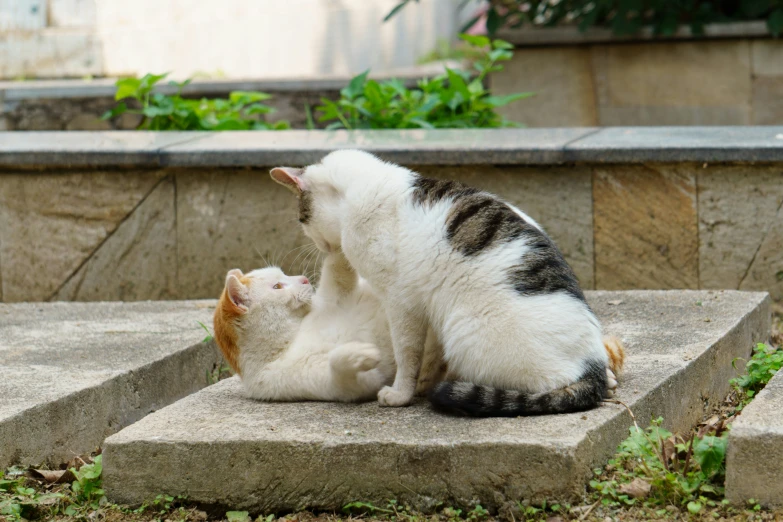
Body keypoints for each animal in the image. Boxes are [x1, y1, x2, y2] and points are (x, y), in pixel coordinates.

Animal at [213, 250, 448, 400]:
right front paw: (359, 353)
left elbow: (336, 267)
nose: (304, 279)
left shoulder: (335, 294)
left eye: (284, 275)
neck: (293, 336)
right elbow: (339, 365)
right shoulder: (350, 386)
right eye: (278, 286)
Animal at [272, 149, 628, 414]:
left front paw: (401, 393)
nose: (317, 245)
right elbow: (429, 354)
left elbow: (408, 353)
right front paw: (422, 382)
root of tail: (589, 371)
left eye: (302, 219)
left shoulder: (401, 302)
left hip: (465, 330)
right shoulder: (425, 308)